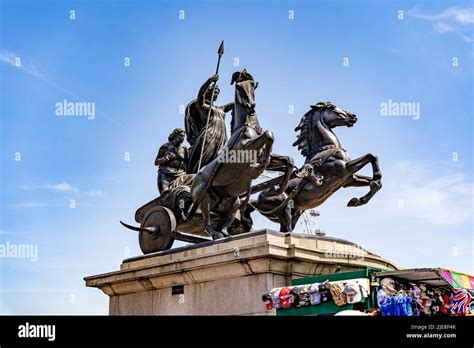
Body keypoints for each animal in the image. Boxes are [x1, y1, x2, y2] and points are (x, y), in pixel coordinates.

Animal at [191, 69, 274, 241]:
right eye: (238, 87)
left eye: (252, 84)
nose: (250, 106)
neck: (246, 126)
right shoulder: (244, 147)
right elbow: (268, 135)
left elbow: (269, 138)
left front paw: (263, 162)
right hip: (205, 200)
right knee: (206, 223)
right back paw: (217, 234)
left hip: (233, 202)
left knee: (225, 222)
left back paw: (225, 233)